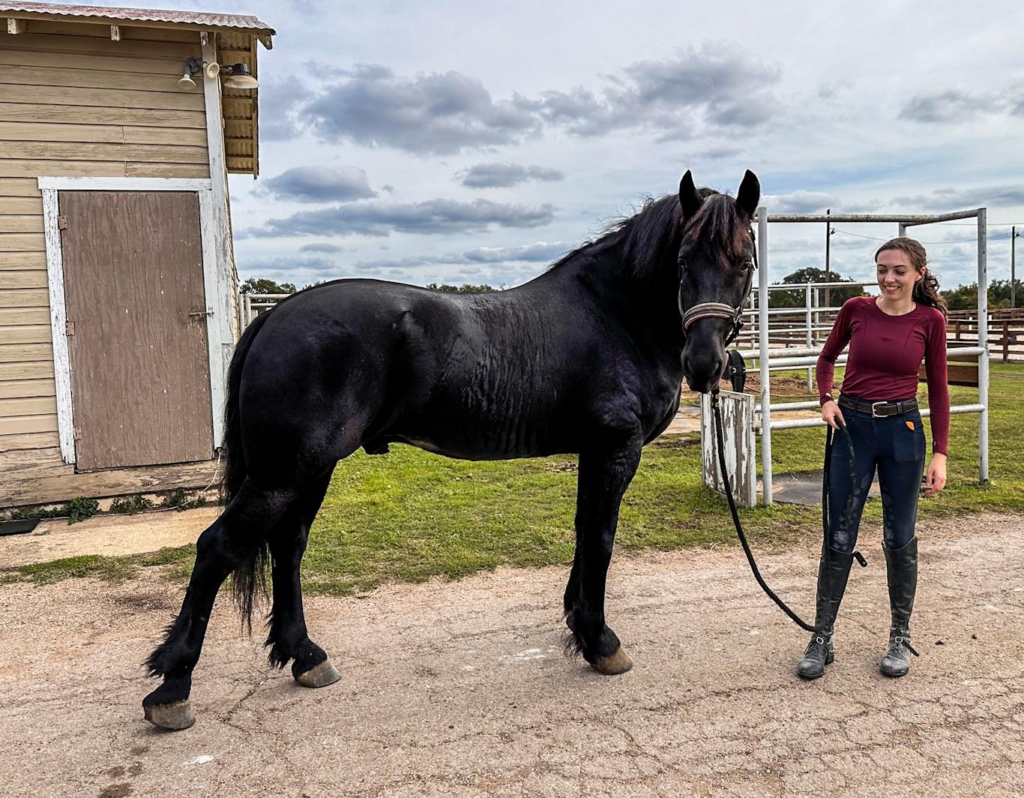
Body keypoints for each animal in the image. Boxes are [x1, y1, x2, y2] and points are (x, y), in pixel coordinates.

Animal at [143, 169, 761, 730]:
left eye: (744, 263)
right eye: (683, 261)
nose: (704, 364)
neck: (615, 314)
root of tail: (274, 317)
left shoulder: (594, 451)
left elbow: (586, 534)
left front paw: (576, 622)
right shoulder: (614, 447)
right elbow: (602, 539)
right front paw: (600, 641)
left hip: (308, 470)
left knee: (288, 547)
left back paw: (306, 656)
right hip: (284, 472)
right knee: (218, 548)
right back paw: (173, 689)